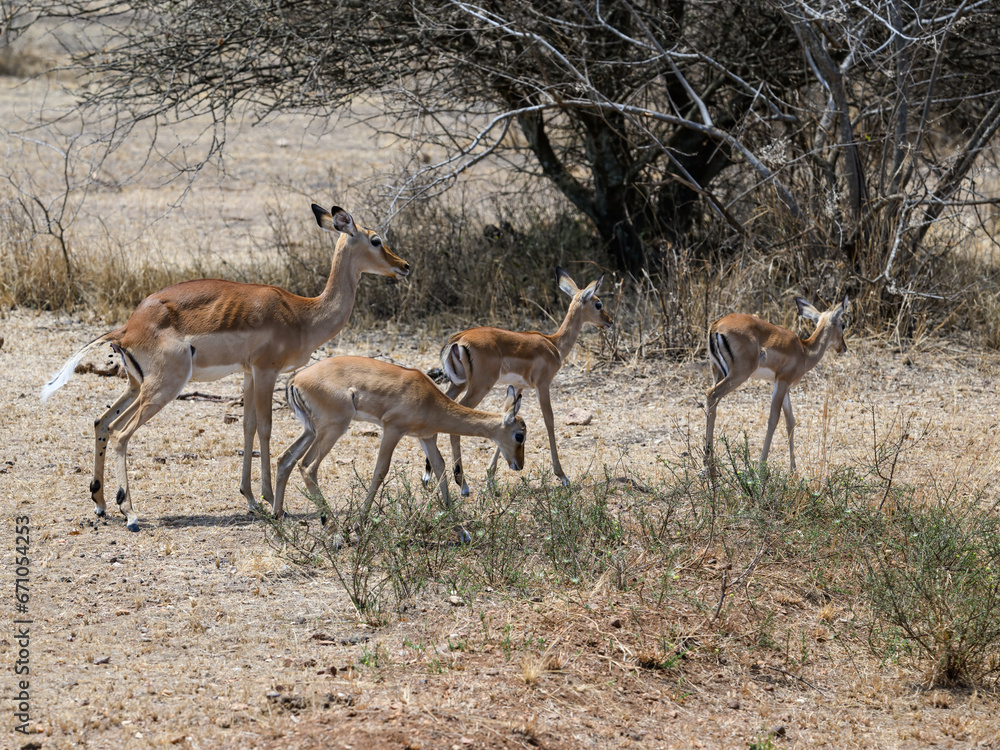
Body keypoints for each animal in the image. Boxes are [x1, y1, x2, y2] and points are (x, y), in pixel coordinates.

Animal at [40, 204, 409, 532]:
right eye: (376, 240)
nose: (404, 266)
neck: (303, 314)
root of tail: (127, 328)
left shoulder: (247, 373)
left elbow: (247, 427)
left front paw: (250, 498)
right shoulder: (265, 371)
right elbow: (265, 428)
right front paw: (269, 498)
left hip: (135, 386)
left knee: (101, 422)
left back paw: (101, 504)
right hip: (163, 388)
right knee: (120, 433)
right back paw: (129, 513)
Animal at [272, 357, 526, 523]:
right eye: (519, 435)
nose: (519, 465)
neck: (430, 399)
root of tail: (296, 379)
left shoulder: (426, 437)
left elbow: (440, 466)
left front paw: (452, 517)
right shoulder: (392, 429)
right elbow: (380, 470)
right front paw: (361, 520)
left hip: (311, 430)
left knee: (285, 459)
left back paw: (277, 516)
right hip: (334, 428)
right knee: (307, 466)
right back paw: (334, 531)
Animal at [430, 266, 612, 496]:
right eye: (598, 304)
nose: (609, 321)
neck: (554, 345)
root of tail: (457, 340)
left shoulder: (517, 387)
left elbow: (506, 418)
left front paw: (490, 478)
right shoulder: (543, 385)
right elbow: (549, 421)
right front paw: (562, 476)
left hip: (459, 384)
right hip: (479, 387)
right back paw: (463, 485)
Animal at [704, 296, 849, 475]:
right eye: (843, 324)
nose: (843, 348)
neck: (804, 351)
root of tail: (716, 325)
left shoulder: (783, 386)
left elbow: (790, 421)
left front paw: (793, 470)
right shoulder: (782, 383)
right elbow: (773, 419)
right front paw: (761, 468)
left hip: (718, 372)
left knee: (712, 402)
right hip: (739, 374)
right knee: (712, 394)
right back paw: (710, 465)